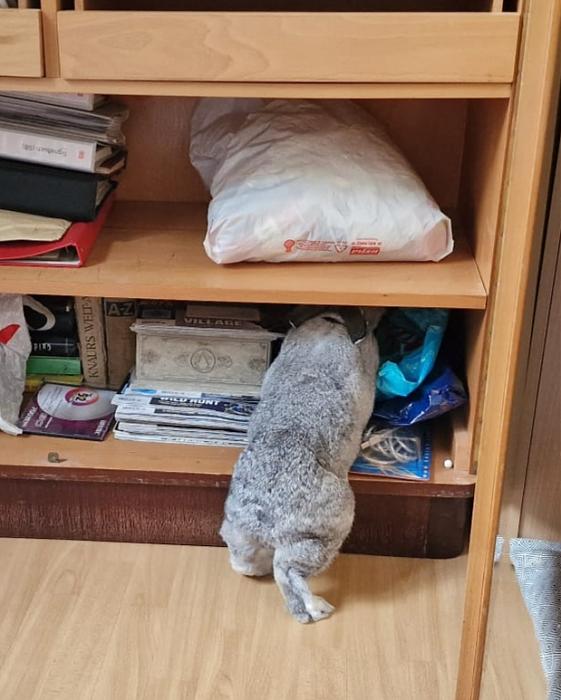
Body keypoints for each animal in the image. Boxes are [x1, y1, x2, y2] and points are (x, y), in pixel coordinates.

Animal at [220, 306, 381, 623]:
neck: (328, 328)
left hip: (239, 531)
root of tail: (263, 514)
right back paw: (316, 609)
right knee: (288, 571)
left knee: (246, 563)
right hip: (323, 533)